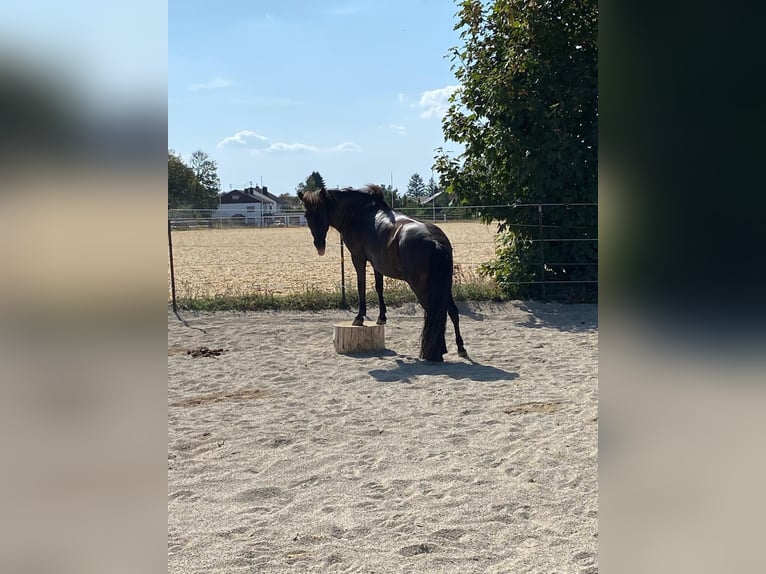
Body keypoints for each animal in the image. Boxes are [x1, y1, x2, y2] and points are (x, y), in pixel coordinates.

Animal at [298, 184, 467, 362]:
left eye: (322, 212)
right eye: (307, 215)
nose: (319, 244)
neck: (359, 213)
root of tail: (434, 241)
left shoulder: (358, 258)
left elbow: (361, 286)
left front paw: (359, 318)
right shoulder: (377, 264)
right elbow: (379, 288)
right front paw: (381, 318)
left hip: (422, 288)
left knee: (434, 313)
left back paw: (435, 352)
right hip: (444, 286)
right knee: (451, 311)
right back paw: (460, 348)